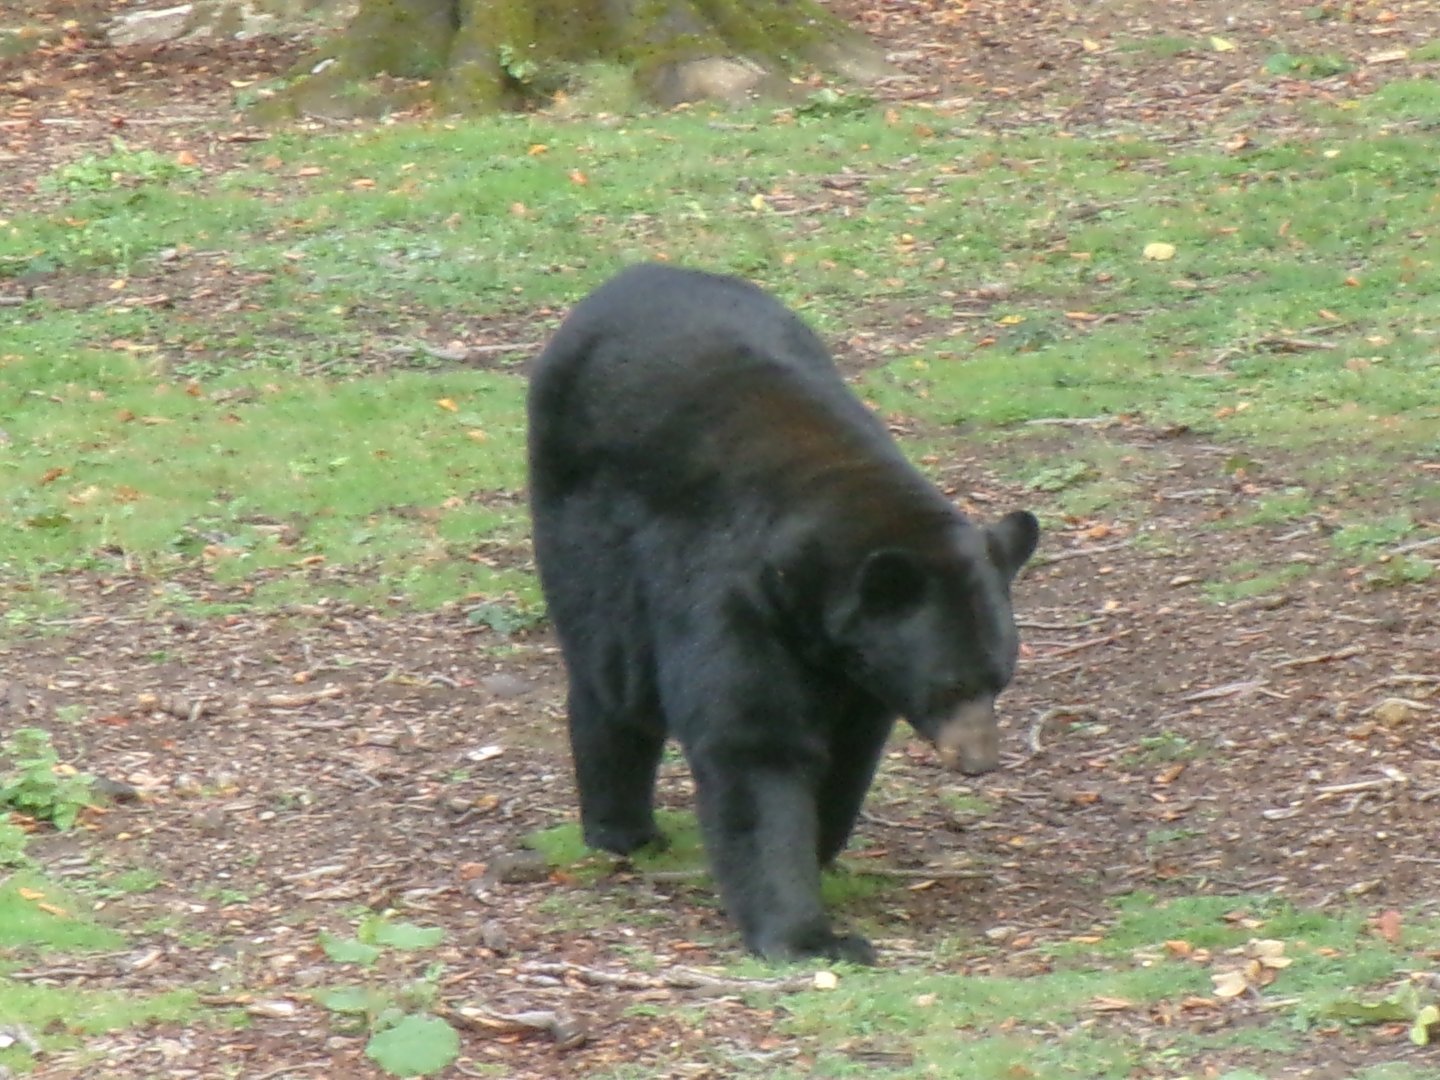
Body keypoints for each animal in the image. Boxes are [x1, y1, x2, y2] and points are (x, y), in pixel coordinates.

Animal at [526, 264, 1040, 964]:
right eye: (950, 684)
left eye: (999, 679)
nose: (979, 760)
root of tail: (630, 277)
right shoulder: (736, 598)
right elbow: (755, 742)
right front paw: (810, 936)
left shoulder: (856, 665)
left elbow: (849, 748)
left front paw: (822, 850)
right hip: (583, 520)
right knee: (613, 675)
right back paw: (621, 828)